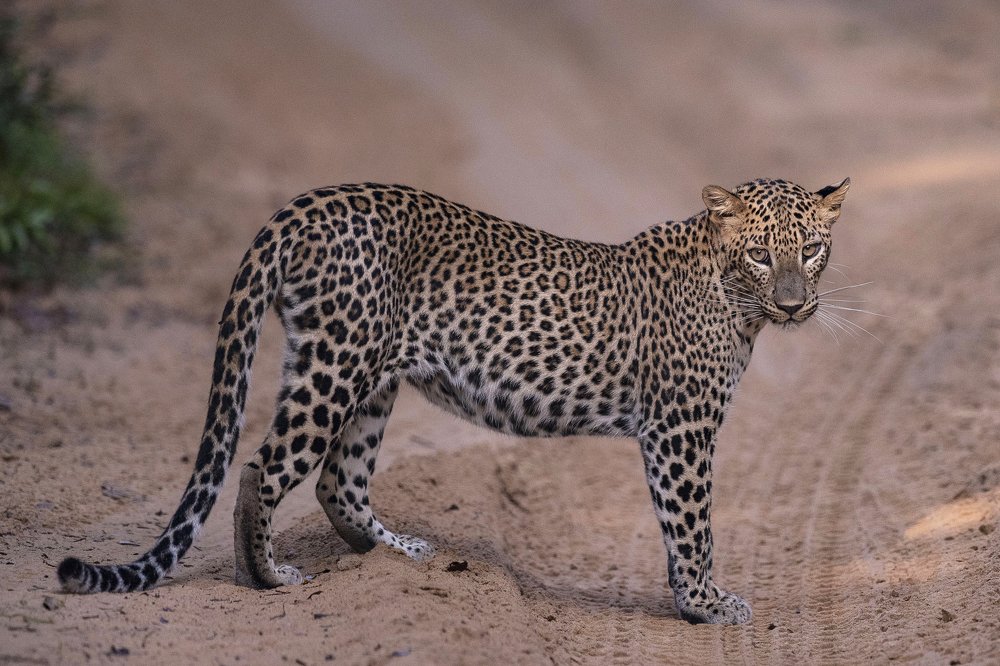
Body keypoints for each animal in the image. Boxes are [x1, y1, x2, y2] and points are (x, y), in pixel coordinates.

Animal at [58, 177, 850, 625]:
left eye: (812, 250)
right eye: (761, 254)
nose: (794, 305)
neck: (736, 298)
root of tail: (304, 206)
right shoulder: (681, 428)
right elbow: (692, 526)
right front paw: (705, 605)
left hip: (370, 379)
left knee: (338, 480)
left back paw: (398, 555)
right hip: (338, 364)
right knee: (264, 466)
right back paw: (269, 577)